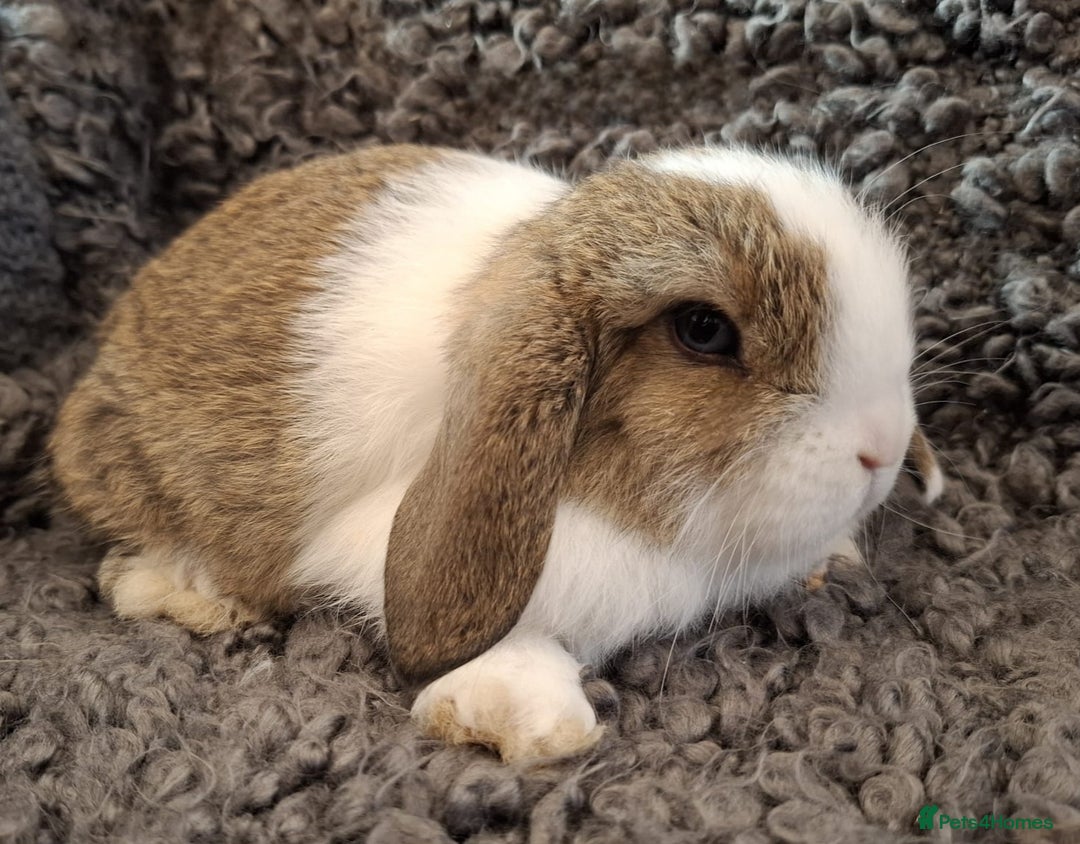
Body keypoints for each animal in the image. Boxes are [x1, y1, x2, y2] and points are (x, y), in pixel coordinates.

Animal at [50, 143, 944, 762]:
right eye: (703, 330)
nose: (882, 449)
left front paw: (833, 557)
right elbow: (507, 634)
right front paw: (531, 720)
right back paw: (197, 594)